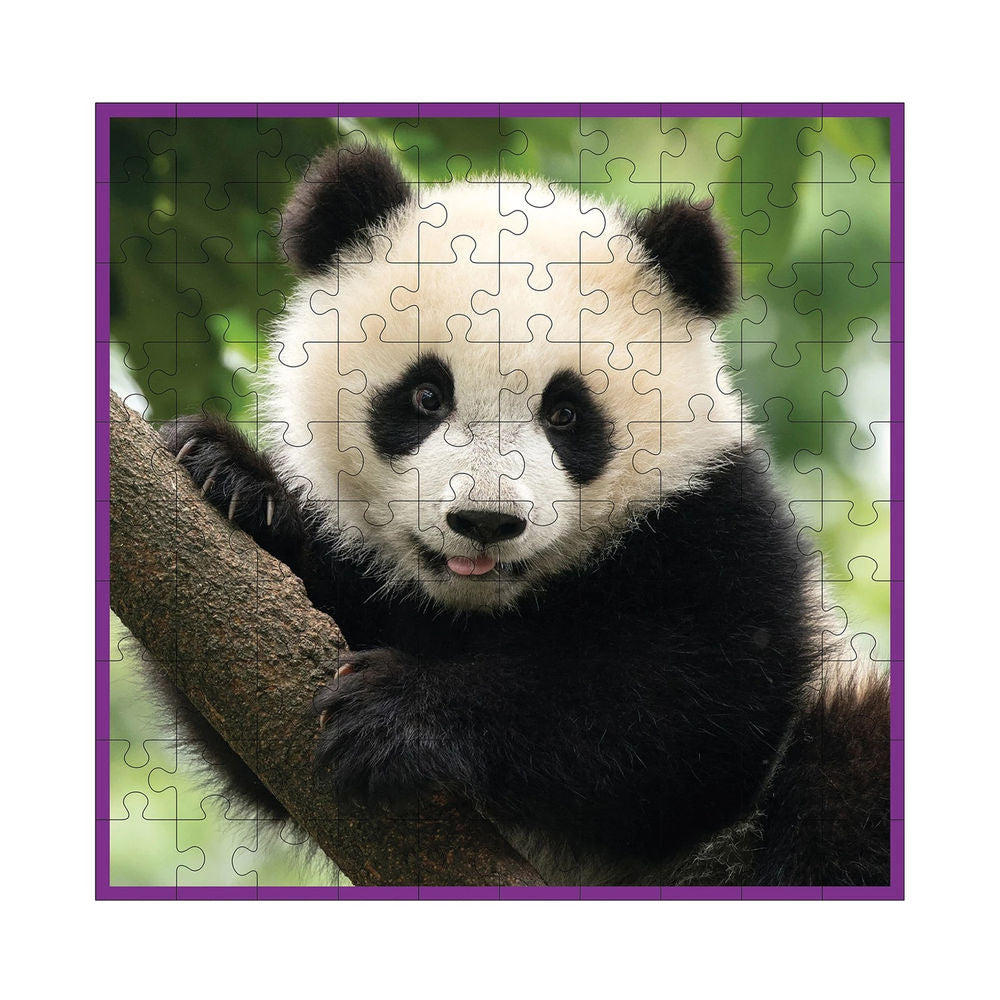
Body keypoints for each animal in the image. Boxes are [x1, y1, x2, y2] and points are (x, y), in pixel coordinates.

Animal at [166, 144, 890, 886]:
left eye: (566, 413)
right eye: (426, 395)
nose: (485, 521)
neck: (482, 608)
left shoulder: (714, 520)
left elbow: (692, 715)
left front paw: (400, 715)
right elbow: (251, 723)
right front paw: (234, 481)